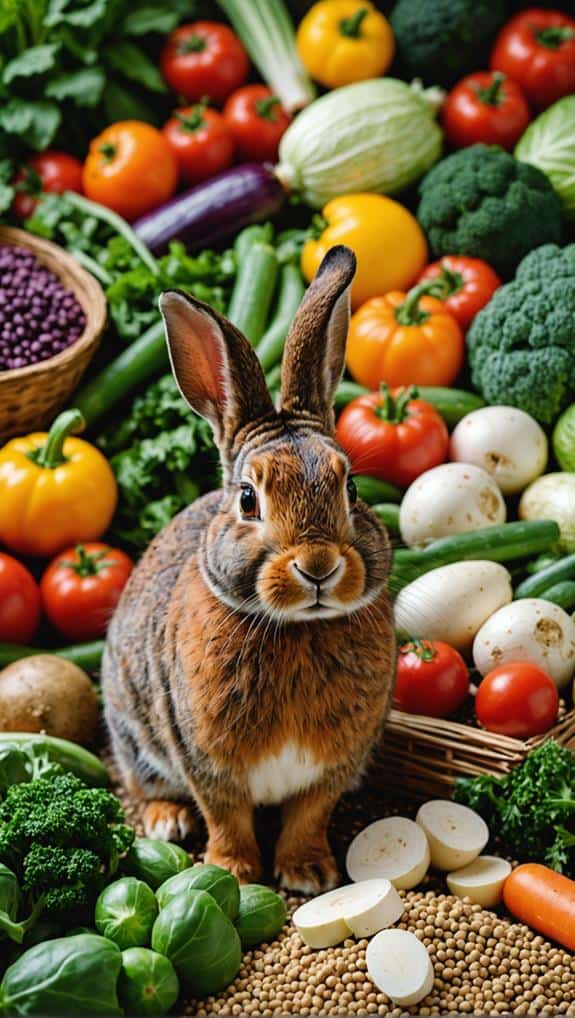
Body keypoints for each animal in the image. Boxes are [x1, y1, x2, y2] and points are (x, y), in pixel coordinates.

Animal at [102, 244, 396, 894]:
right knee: (144, 782)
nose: (318, 565)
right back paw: (164, 822)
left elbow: (310, 813)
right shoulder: (203, 759)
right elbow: (226, 815)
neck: (297, 629)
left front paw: (307, 874)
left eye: (351, 488)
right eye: (247, 500)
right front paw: (231, 871)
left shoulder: (336, 765)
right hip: (132, 729)